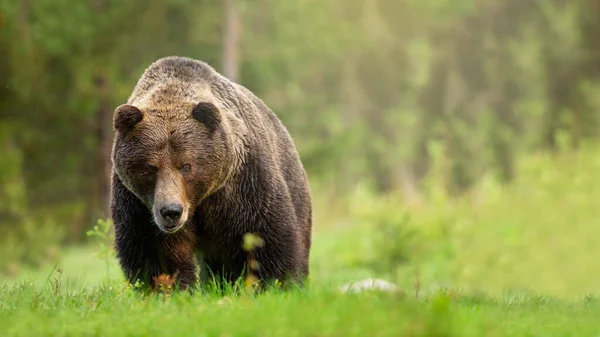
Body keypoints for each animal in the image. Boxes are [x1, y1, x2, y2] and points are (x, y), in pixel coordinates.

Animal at [109, 55, 312, 288]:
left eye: (186, 165)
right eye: (151, 167)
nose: (171, 211)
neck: (198, 200)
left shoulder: (244, 185)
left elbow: (266, 237)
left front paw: (277, 282)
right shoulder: (138, 205)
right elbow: (157, 255)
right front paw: (169, 287)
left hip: (293, 182)